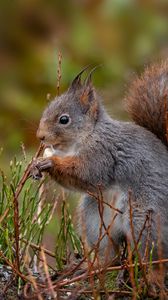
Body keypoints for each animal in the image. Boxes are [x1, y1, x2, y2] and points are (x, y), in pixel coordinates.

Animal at [31, 61, 168, 264]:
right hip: (95, 219)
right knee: (108, 249)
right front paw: (36, 163)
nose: (40, 136)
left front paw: (51, 162)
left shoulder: (102, 153)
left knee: (152, 251)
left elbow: (87, 173)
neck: (87, 136)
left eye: (64, 119)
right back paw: (98, 265)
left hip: (144, 218)